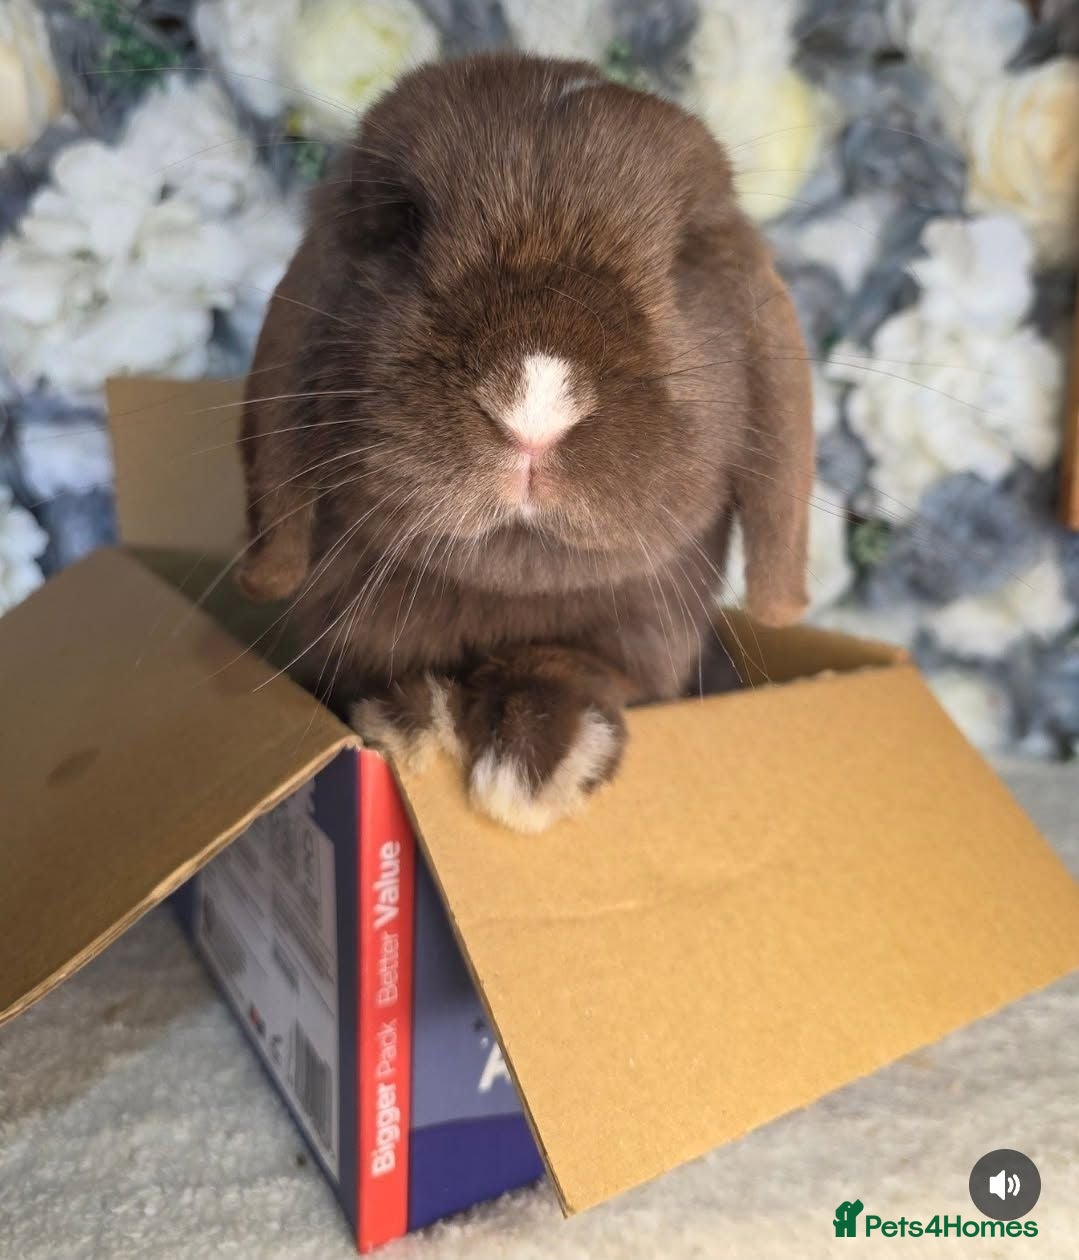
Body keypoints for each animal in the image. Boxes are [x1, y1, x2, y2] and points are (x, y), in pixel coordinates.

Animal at [236, 52, 814, 833]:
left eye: (682, 258)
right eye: (406, 225)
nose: (536, 407)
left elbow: (586, 666)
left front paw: (536, 757)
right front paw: (405, 715)